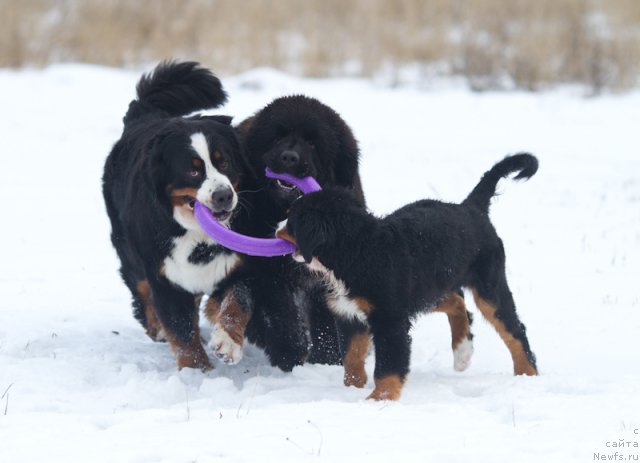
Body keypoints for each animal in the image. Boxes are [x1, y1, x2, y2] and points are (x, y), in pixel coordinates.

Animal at [102, 61, 248, 372]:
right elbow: (181, 329)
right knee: (141, 289)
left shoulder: (239, 263)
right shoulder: (165, 276)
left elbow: (236, 302)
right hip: (131, 254)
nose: (223, 195)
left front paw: (227, 342)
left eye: (224, 162)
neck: (196, 235)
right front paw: (197, 372)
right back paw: (156, 328)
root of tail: (144, 115)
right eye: (193, 171)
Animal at [280, 154, 540, 400]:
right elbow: (352, 357)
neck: (359, 250)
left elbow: (387, 365)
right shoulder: (350, 314)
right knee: (457, 302)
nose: (276, 227)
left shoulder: (390, 319)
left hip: (488, 286)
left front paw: (379, 399)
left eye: (292, 220)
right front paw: (352, 388)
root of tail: (470, 207)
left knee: (514, 330)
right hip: (427, 291)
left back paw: (526, 374)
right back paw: (462, 352)